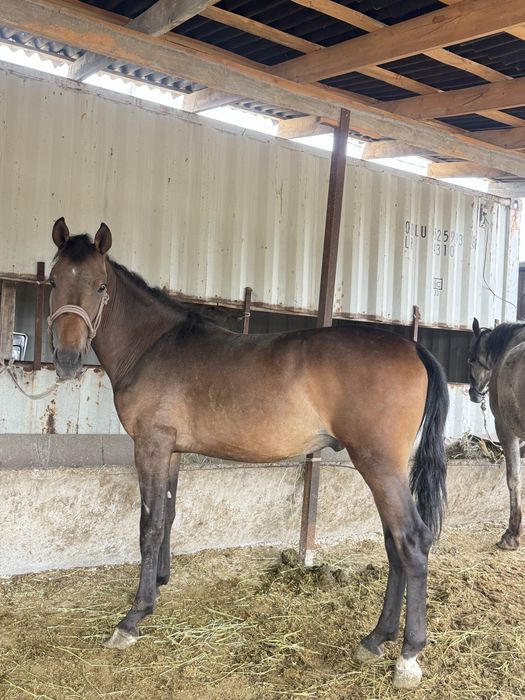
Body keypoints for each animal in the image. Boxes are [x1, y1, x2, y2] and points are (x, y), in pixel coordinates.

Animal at [47, 217, 449, 689]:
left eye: (100, 286)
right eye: (54, 281)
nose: (67, 359)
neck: (153, 345)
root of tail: (413, 348)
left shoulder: (150, 445)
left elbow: (149, 525)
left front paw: (134, 617)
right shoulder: (172, 451)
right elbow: (169, 514)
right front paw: (160, 582)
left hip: (378, 464)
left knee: (412, 540)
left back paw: (407, 655)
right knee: (393, 542)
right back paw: (375, 639)